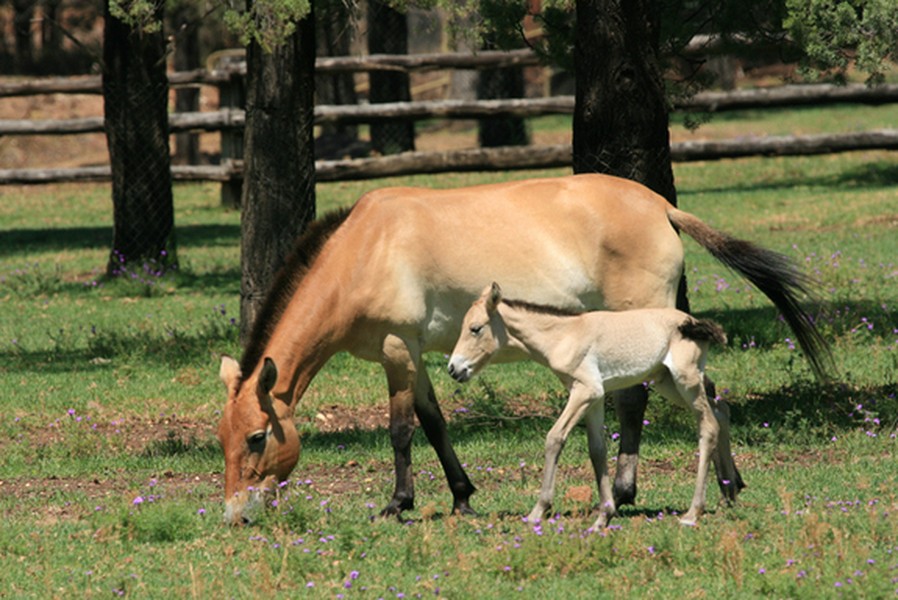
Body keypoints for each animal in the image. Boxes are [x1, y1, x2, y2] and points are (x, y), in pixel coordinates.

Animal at [448, 284, 728, 528]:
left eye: (475, 328)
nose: (454, 369)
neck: (564, 336)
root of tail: (692, 323)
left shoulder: (584, 391)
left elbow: (554, 438)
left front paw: (538, 511)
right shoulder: (594, 397)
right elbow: (597, 450)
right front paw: (603, 517)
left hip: (685, 380)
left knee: (708, 426)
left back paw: (693, 512)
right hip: (667, 383)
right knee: (719, 411)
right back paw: (729, 490)